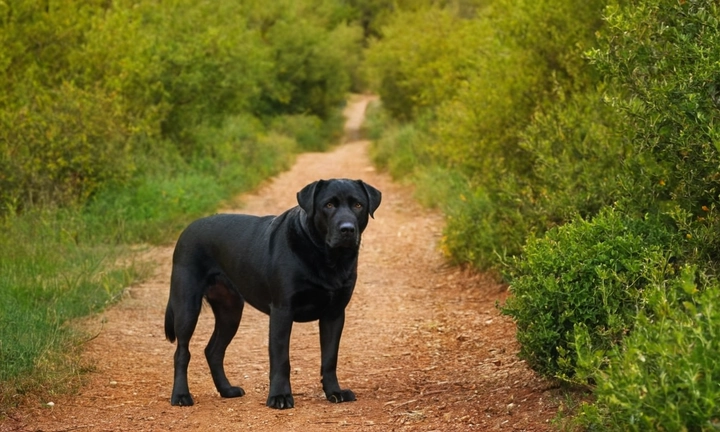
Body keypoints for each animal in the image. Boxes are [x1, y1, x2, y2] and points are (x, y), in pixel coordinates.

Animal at [165, 178, 382, 408]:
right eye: (329, 205)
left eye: (358, 205)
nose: (347, 229)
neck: (327, 257)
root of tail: (187, 229)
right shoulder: (282, 311)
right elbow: (281, 358)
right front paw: (280, 397)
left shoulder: (334, 313)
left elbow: (330, 358)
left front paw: (335, 392)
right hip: (187, 307)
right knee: (182, 352)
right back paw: (181, 396)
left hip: (230, 311)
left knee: (213, 351)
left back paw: (227, 390)